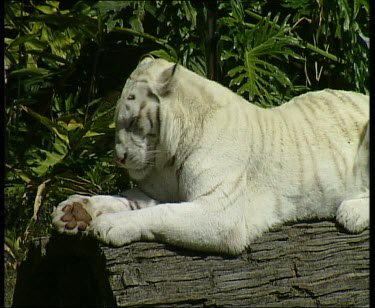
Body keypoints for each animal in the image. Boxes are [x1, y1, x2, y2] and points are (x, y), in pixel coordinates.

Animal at [52, 55, 370, 255]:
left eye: (131, 122)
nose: (118, 158)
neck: (168, 157)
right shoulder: (160, 190)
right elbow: (126, 199)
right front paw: (75, 212)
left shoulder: (221, 213)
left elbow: (161, 213)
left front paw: (111, 225)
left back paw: (351, 212)